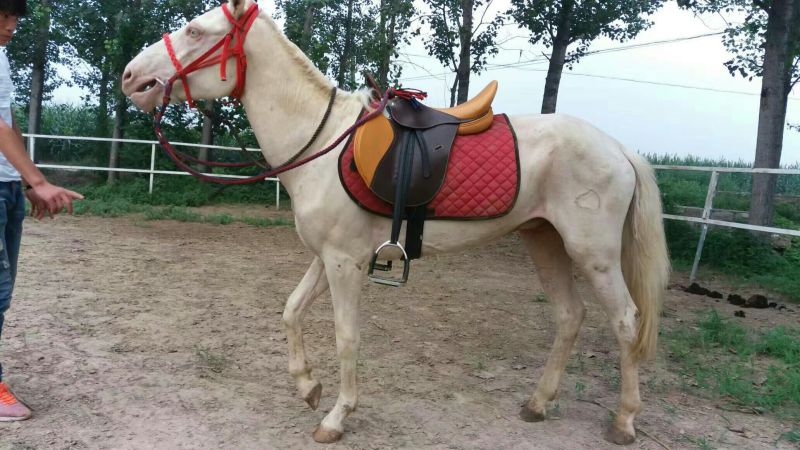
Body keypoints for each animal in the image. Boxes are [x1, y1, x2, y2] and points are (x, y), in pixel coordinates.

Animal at [121, 0, 670, 444]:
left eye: (196, 30)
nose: (130, 77)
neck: (323, 142)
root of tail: (619, 148)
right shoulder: (327, 257)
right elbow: (291, 311)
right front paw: (309, 387)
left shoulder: (346, 262)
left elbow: (347, 336)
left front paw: (336, 417)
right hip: (545, 243)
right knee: (569, 316)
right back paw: (537, 404)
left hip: (593, 255)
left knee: (625, 321)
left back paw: (624, 421)